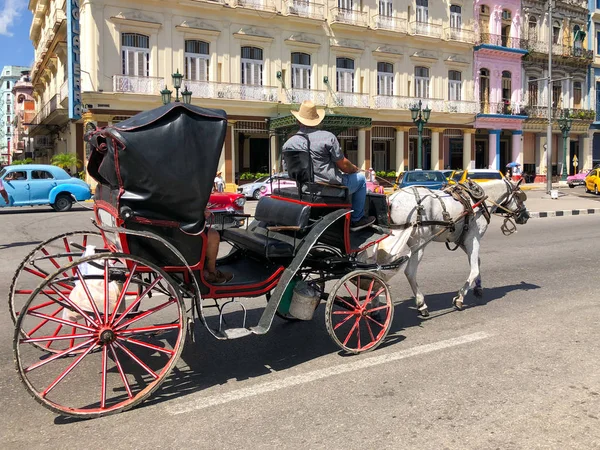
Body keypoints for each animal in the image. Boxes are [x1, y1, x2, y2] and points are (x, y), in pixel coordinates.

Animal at [384, 178, 528, 316]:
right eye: (519, 196)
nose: (525, 216)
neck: (478, 201)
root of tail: (392, 199)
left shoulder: (462, 240)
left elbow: (477, 261)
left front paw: (478, 288)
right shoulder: (473, 238)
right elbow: (474, 269)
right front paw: (459, 298)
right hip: (418, 243)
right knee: (410, 272)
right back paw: (421, 304)